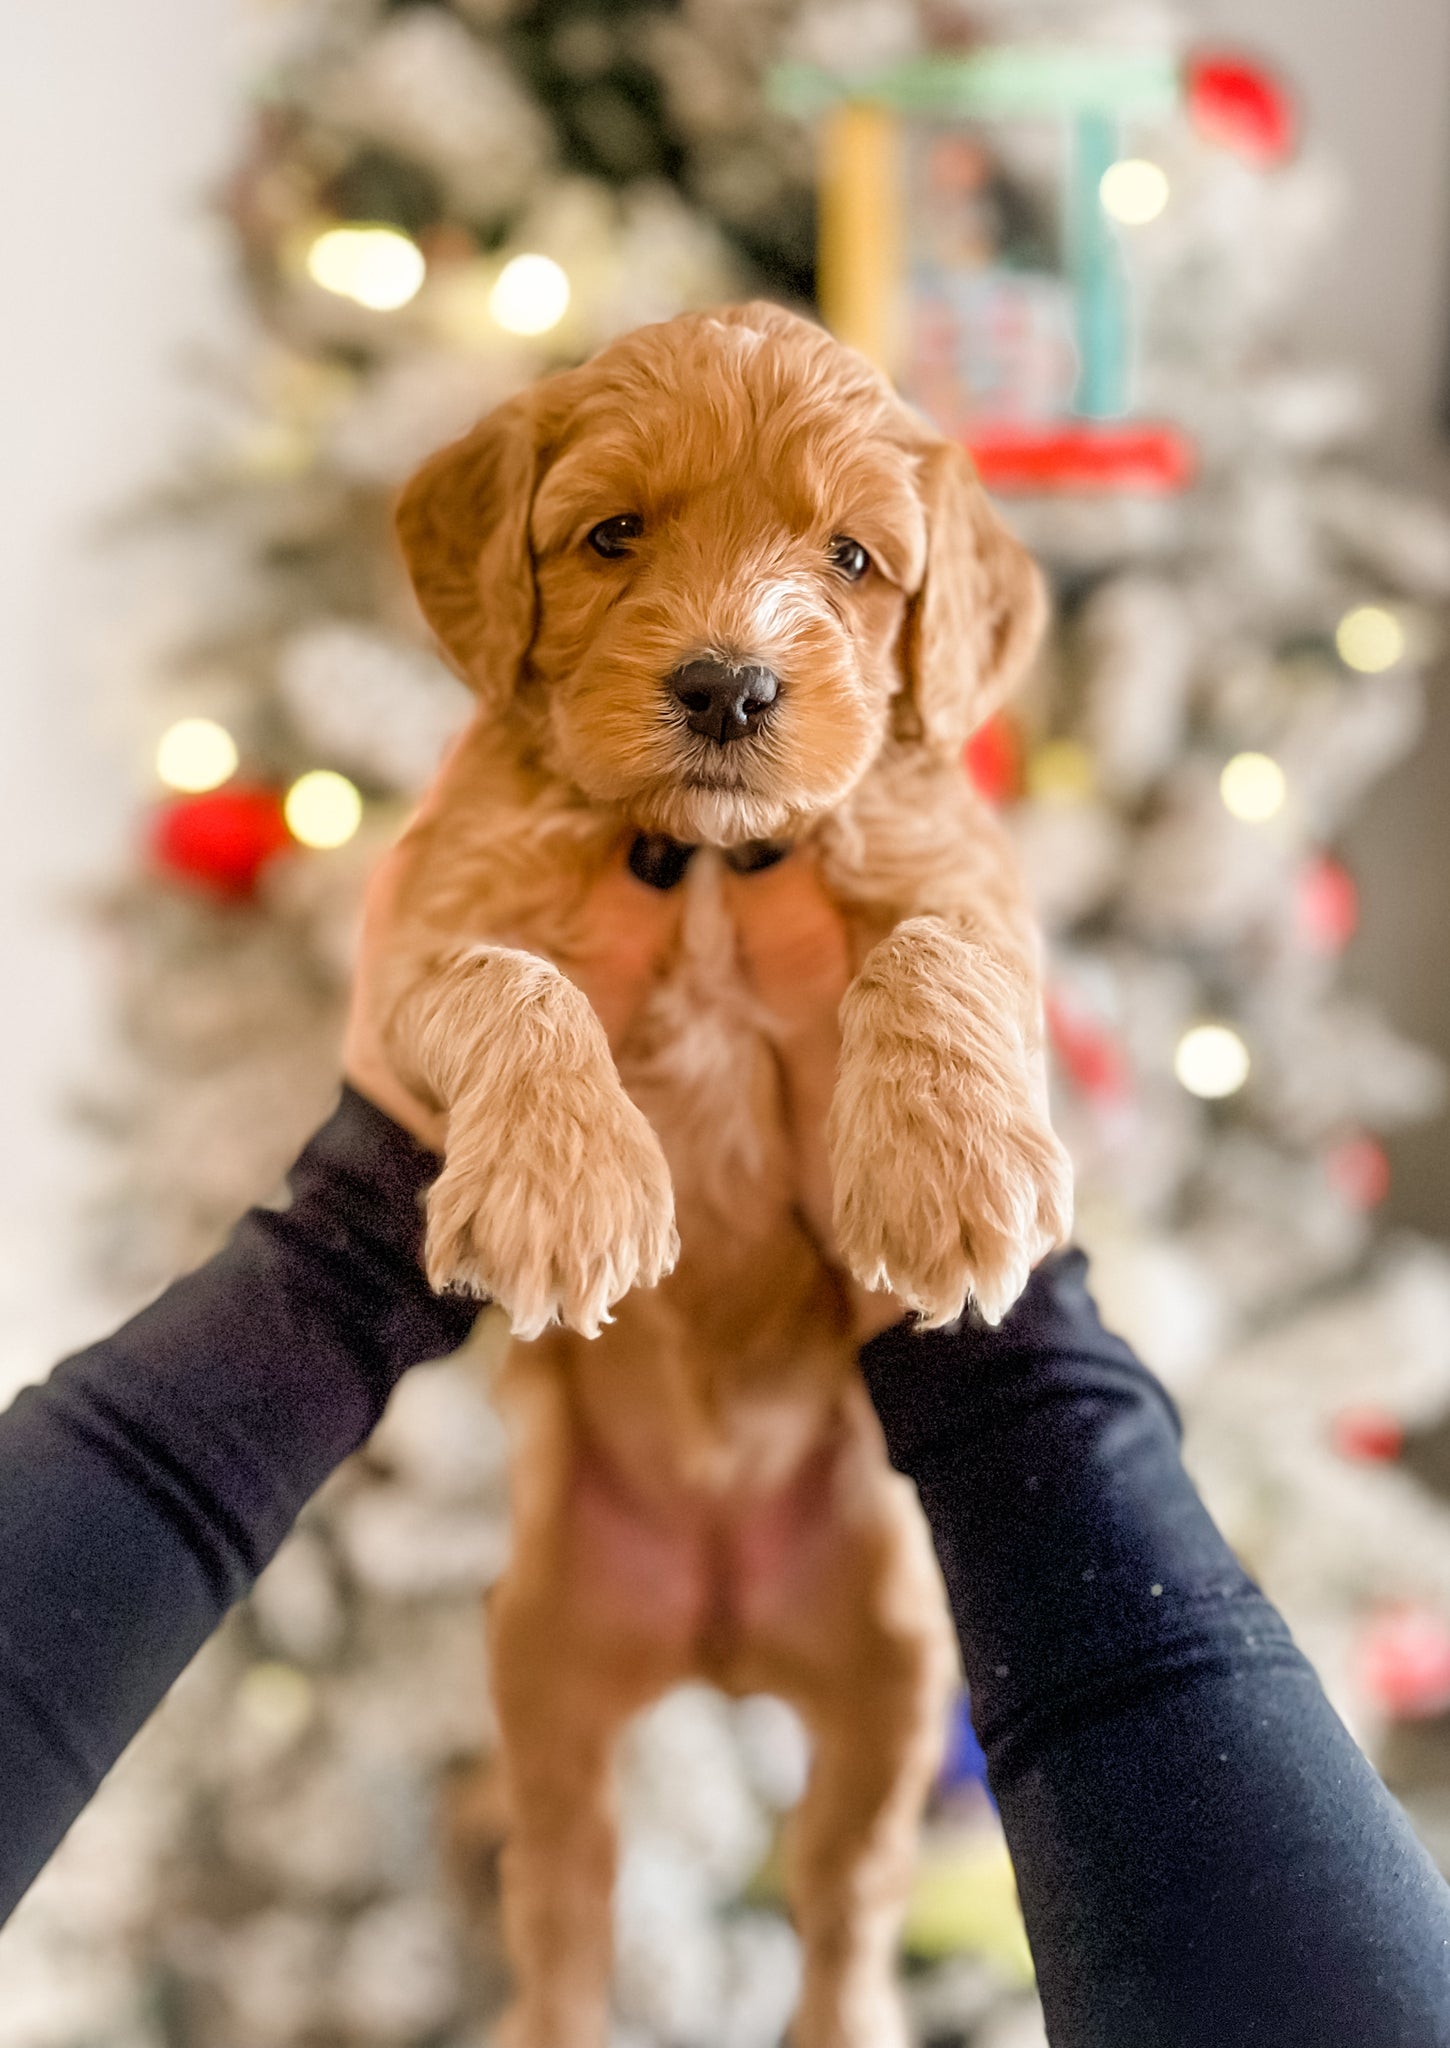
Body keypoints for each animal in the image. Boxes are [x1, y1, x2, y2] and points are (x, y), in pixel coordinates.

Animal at [378, 303, 1073, 2048]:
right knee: (566, 1903)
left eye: (851, 558)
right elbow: (508, 981)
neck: (697, 858)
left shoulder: (973, 881)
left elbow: (931, 952)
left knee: (845, 1899)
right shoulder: (427, 922)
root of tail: (718, 1631)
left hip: (893, 1677)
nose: (728, 686)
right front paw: (569, 1190)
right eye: (613, 535)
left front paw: (946, 1171)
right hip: (544, 1681)